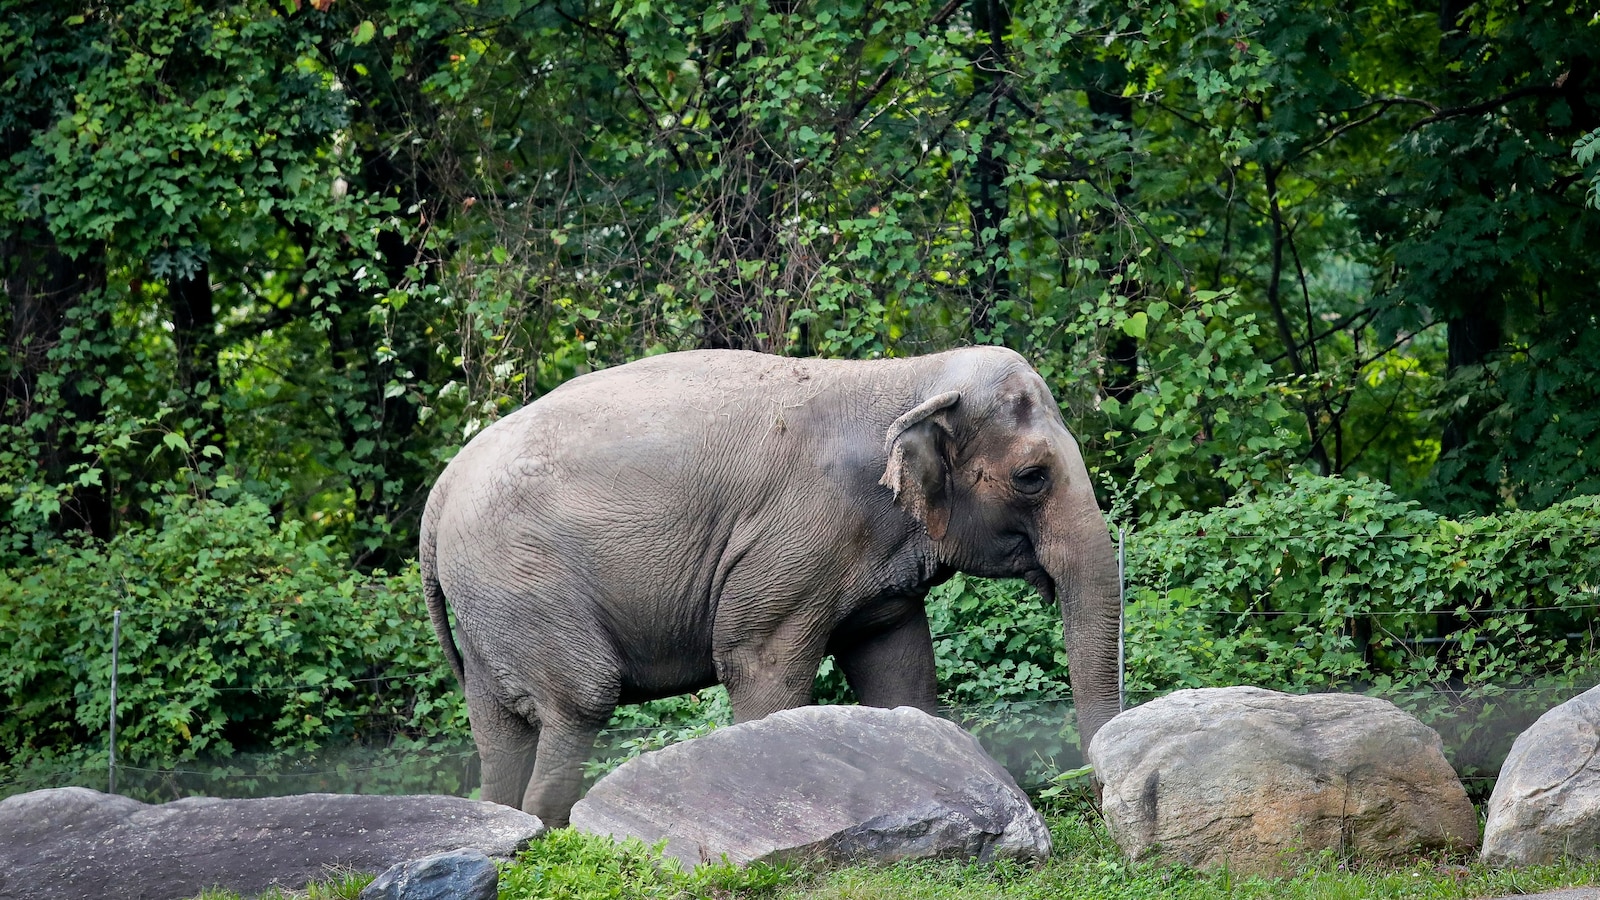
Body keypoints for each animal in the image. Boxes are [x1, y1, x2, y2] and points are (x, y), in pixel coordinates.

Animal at [421, 346, 1122, 826]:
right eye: (1032, 477)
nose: (1096, 802)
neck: (910, 377)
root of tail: (441, 491)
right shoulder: (797, 539)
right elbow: (760, 665)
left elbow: (899, 671)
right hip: (525, 580)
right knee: (579, 703)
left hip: (489, 604)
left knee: (499, 730)